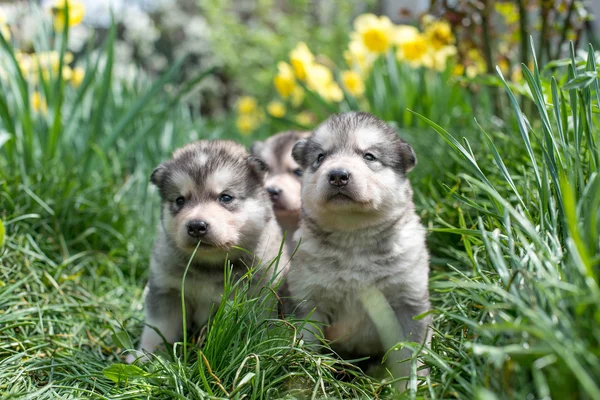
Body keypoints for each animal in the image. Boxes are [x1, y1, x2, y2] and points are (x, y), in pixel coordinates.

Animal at [282, 111, 428, 378]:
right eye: (321, 157)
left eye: (369, 156)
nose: (338, 175)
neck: (353, 236)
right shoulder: (308, 300)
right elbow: (306, 344)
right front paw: (304, 374)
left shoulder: (408, 302)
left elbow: (409, 356)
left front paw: (412, 383)